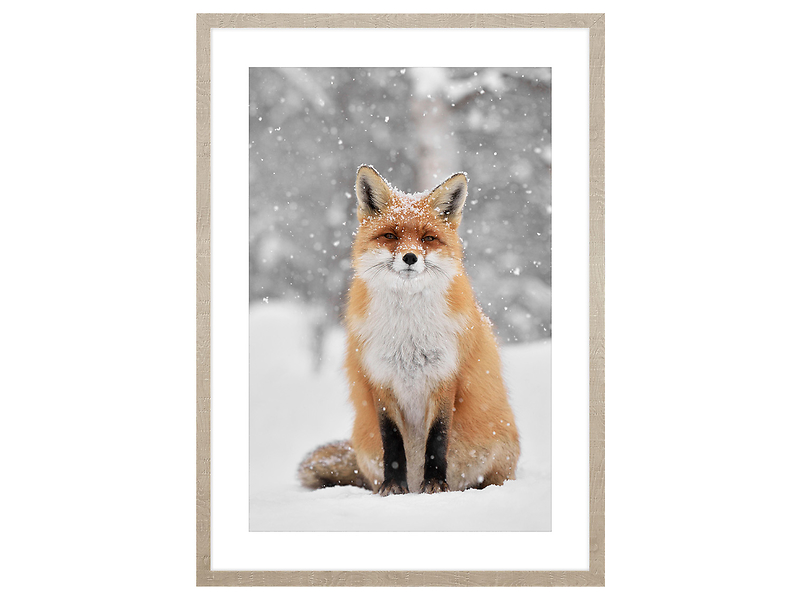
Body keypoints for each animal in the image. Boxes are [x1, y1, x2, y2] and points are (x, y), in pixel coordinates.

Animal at [297, 165, 520, 495]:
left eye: (428, 238)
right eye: (390, 235)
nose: (410, 257)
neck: (407, 332)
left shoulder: (445, 376)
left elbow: (437, 438)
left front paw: (436, 484)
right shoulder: (379, 378)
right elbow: (392, 440)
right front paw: (393, 487)